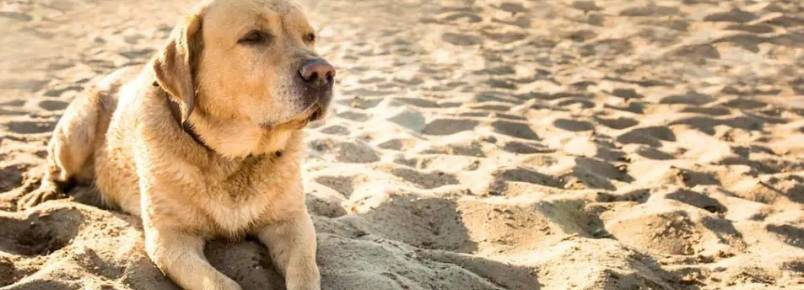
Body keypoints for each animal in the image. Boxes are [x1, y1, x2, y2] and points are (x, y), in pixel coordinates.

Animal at [18, 1, 332, 288]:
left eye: (309, 37)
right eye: (254, 37)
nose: (324, 73)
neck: (233, 158)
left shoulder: (293, 223)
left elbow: (305, 272)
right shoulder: (170, 240)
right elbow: (221, 283)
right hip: (77, 130)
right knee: (55, 167)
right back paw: (43, 192)